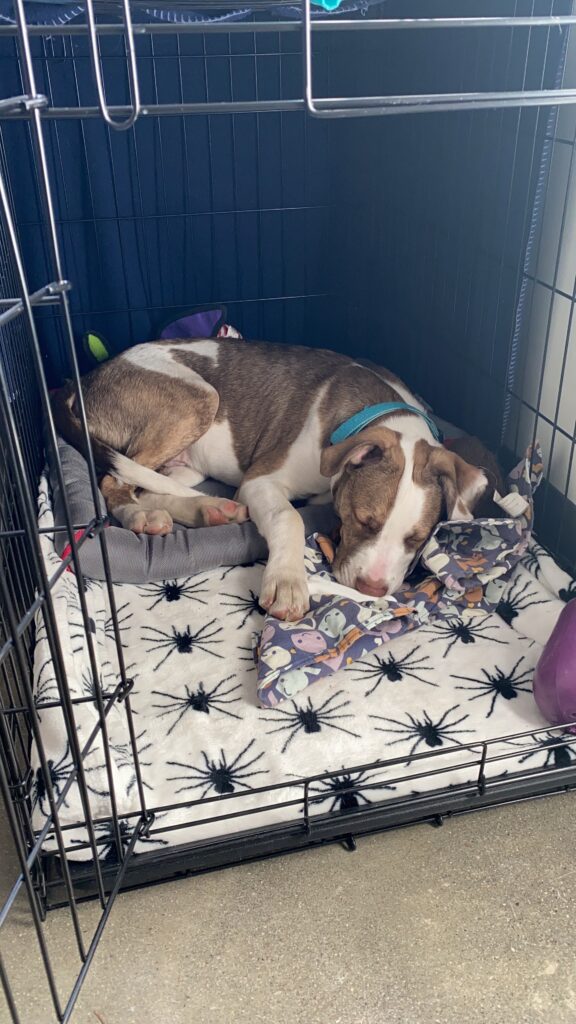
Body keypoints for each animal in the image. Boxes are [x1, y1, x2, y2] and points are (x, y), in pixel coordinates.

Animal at [51, 339, 496, 618]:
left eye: (418, 539)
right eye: (362, 520)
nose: (371, 590)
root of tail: (81, 382)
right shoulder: (260, 481)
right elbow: (289, 517)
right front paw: (287, 583)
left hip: (187, 464)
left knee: (148, 486)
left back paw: (207, 509)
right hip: (197, 400)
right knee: (112, 481)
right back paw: (142, 518)